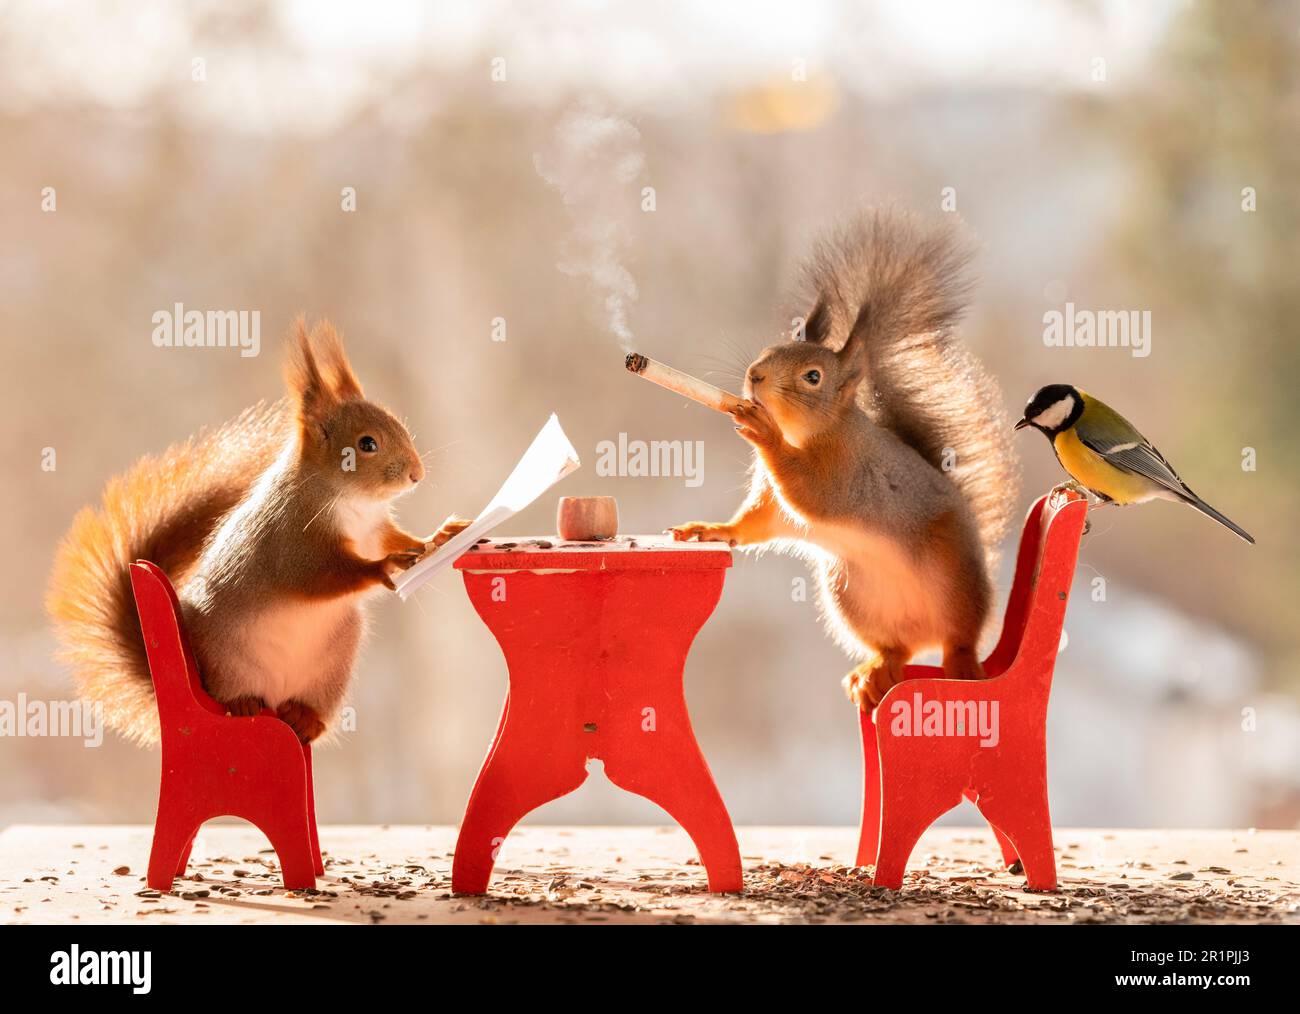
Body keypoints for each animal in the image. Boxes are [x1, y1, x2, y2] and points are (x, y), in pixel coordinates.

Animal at [48, 317, 473, 743]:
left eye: (399, 425)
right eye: (367, 444)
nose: (417, 474)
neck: (351, 503)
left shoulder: (373, 530)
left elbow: (397, 539)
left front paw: (438, 538)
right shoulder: (292, 542)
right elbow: (321, 577)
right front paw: (384, 566)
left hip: (333, 667)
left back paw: (305, 717)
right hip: (227, 660)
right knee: (234, 695)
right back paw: (243, 703)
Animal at [670, 209, 1013, 707]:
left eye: (813, 377)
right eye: (771, 349)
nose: (755, 376)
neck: (808, 433)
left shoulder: (847, 474)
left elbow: (811, 494)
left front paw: (763, 433)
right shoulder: (770, 499)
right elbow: (756, 522)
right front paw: (711, 529)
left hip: (955, 581)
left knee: (960, 636)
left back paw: (962, 664)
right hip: (850, 596)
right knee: (899, 647)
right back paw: (873, 673)